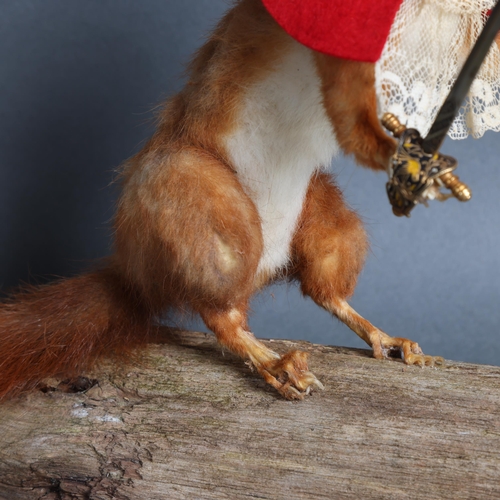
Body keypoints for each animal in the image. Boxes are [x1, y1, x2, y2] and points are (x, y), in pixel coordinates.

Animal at [0, 0, 446, 400]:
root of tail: (134, 277)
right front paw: (406, 153)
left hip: (322, 215)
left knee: (325, 288)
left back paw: (388, 340)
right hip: (200, 201)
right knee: (223, 313)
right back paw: (278, 366)